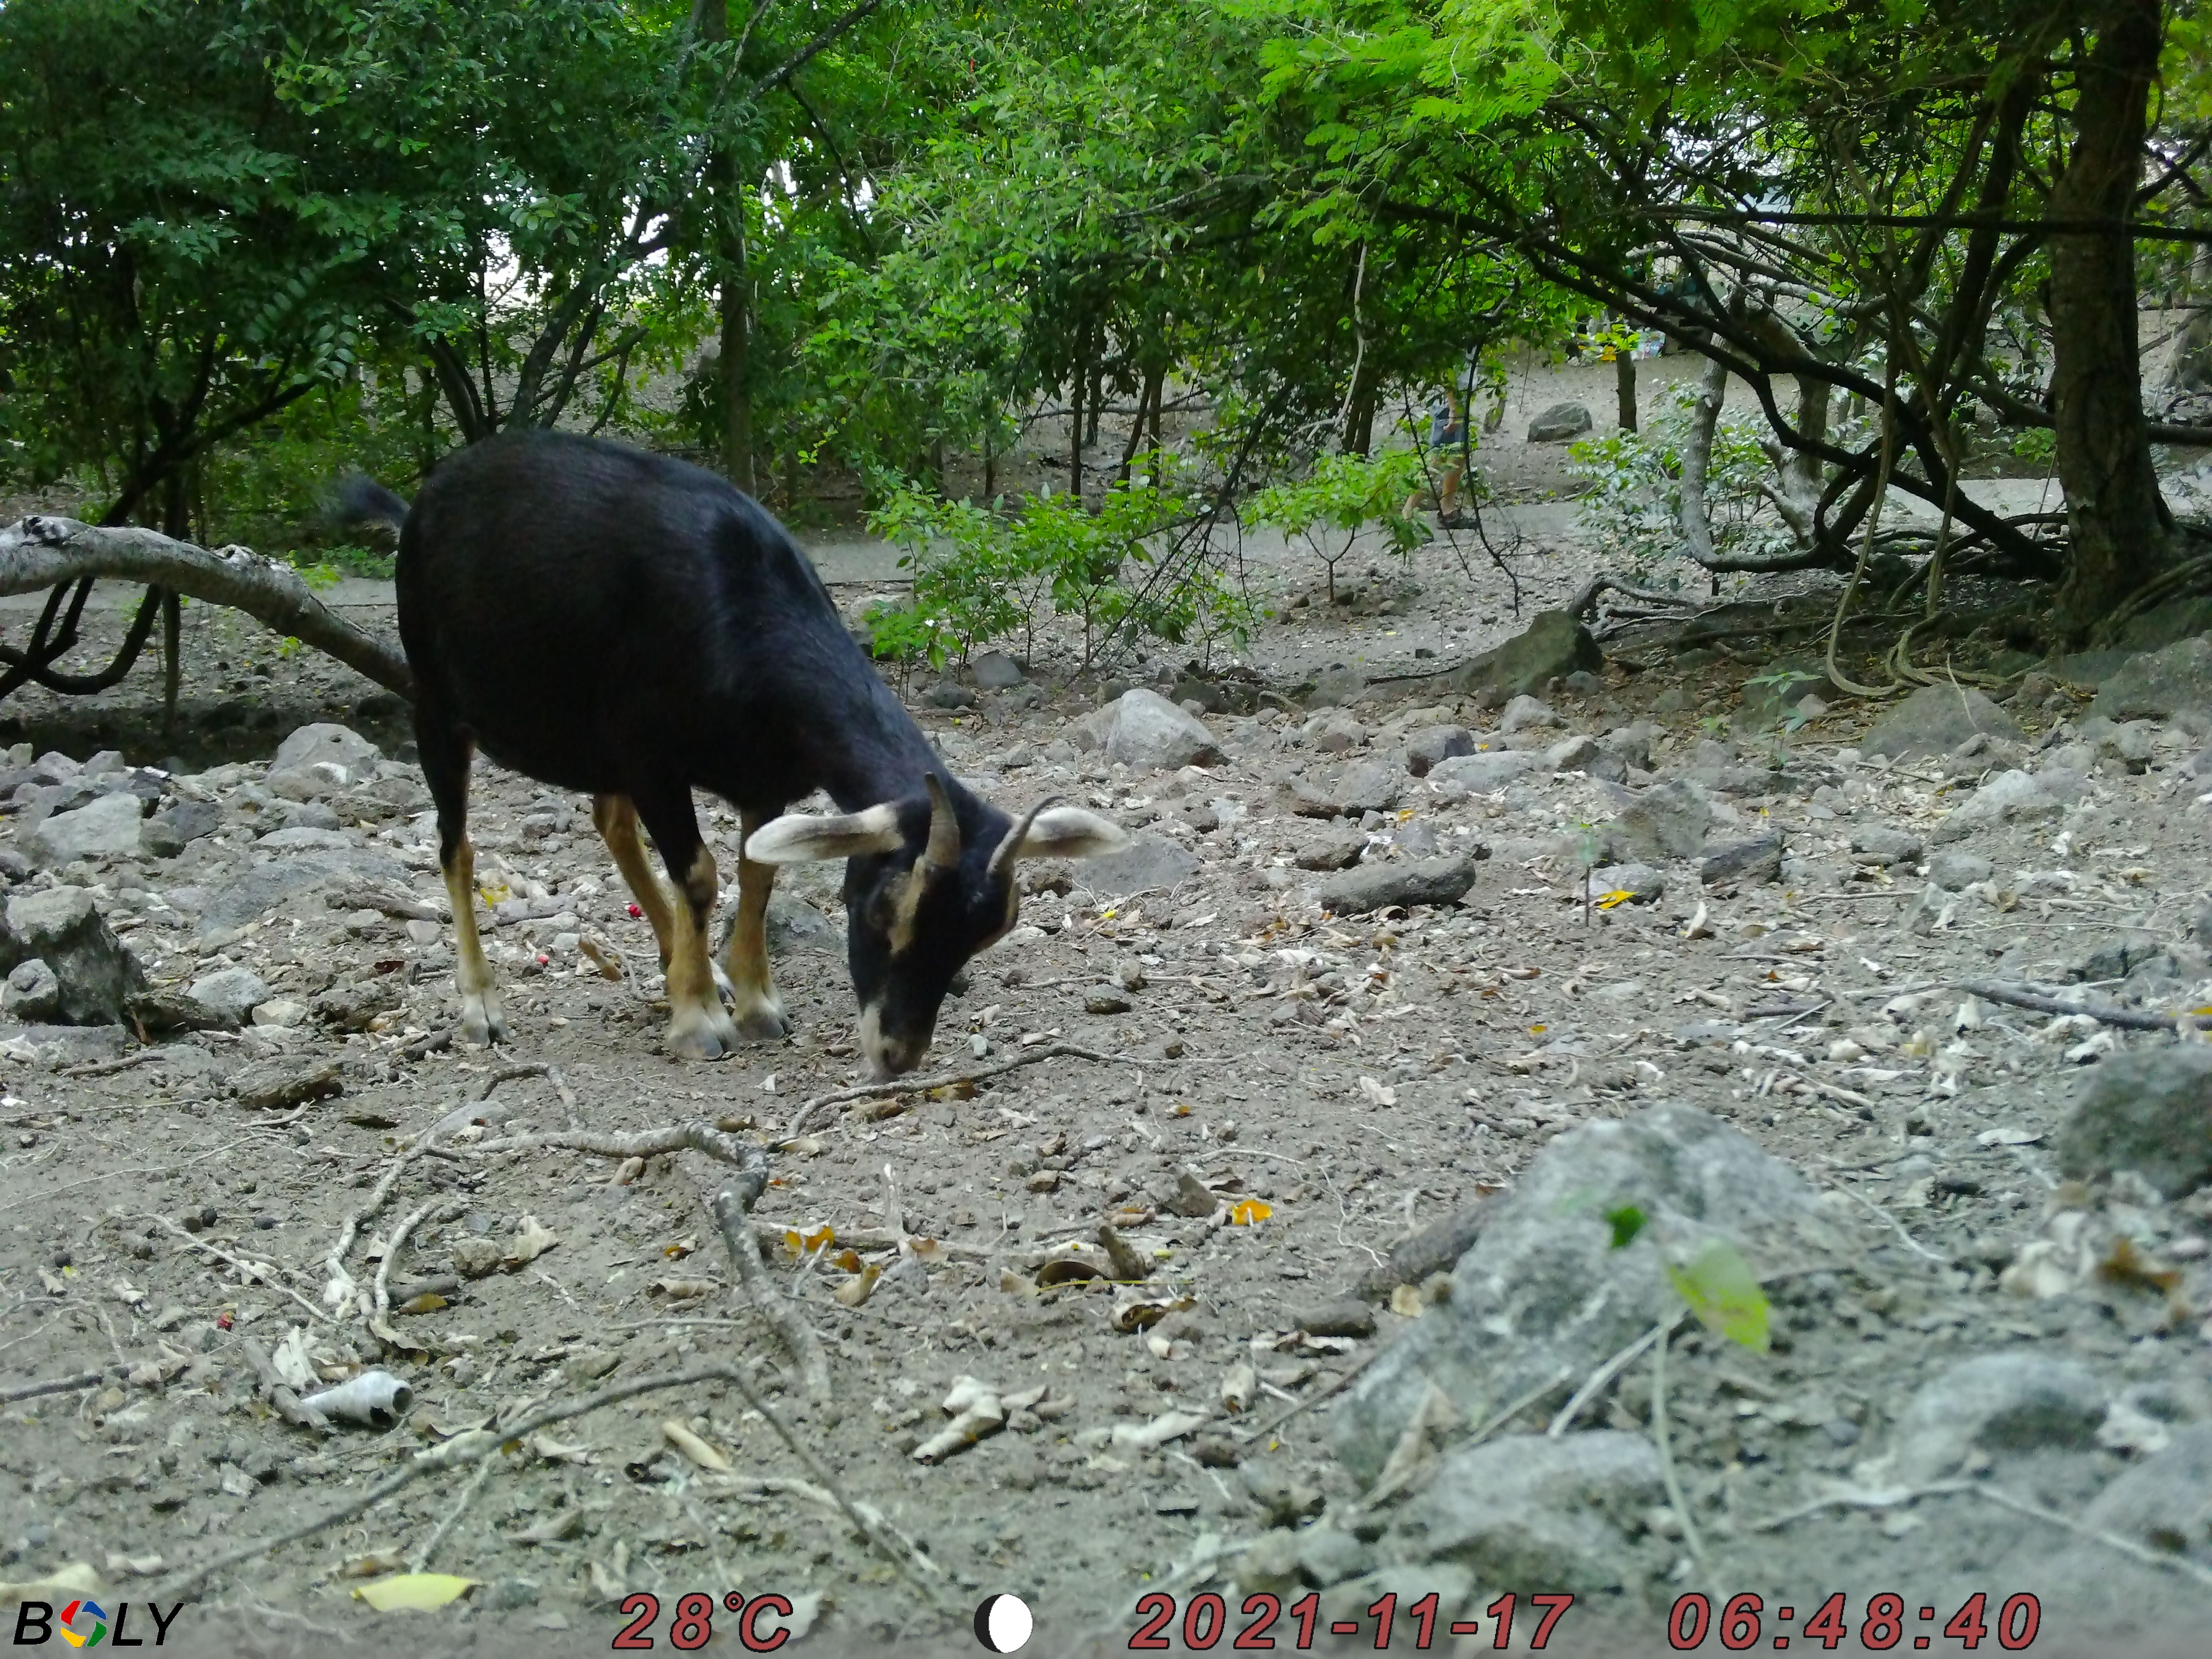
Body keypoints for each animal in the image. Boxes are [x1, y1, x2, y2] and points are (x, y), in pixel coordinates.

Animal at [338, 431, 1132, 1079]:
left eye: (985, 935)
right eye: (884, 908)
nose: (897, 1054)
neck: (739, 609)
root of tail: (425, 498)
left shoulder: (762, 774)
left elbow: (758, 872)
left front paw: (752, 1002)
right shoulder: (654, 762)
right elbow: (699, 874)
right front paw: (699, 1022)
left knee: (608, 822)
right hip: (436, 699)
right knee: (457, 846)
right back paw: (483, 1008)